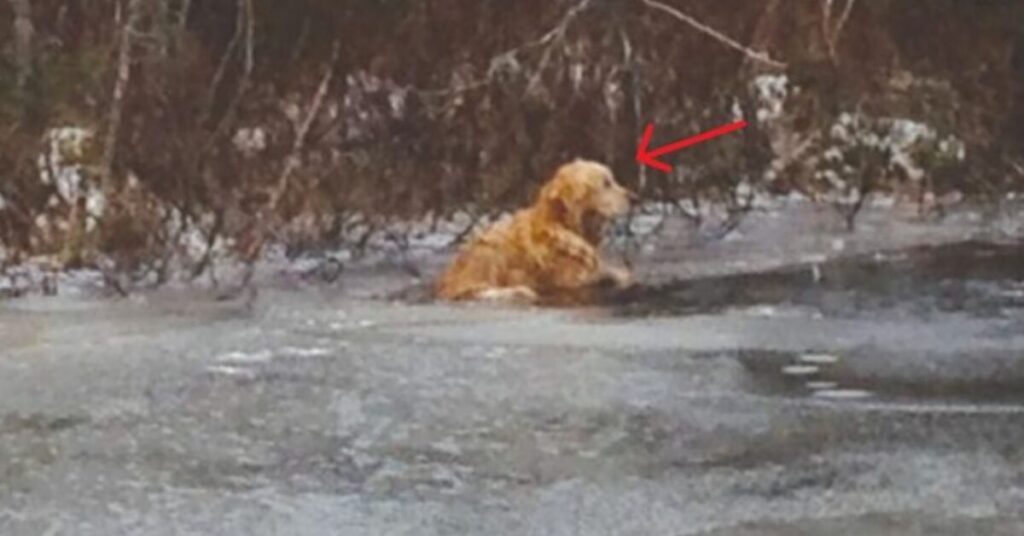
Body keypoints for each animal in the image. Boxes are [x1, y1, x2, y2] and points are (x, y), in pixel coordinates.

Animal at [438, 159, 634, 303]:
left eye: (612, 180)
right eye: (606, 183)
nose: (635, 198)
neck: (562, 224)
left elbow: (615, 272)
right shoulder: (571, 279)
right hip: (489, 249)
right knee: (478, 289)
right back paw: (520, 291)